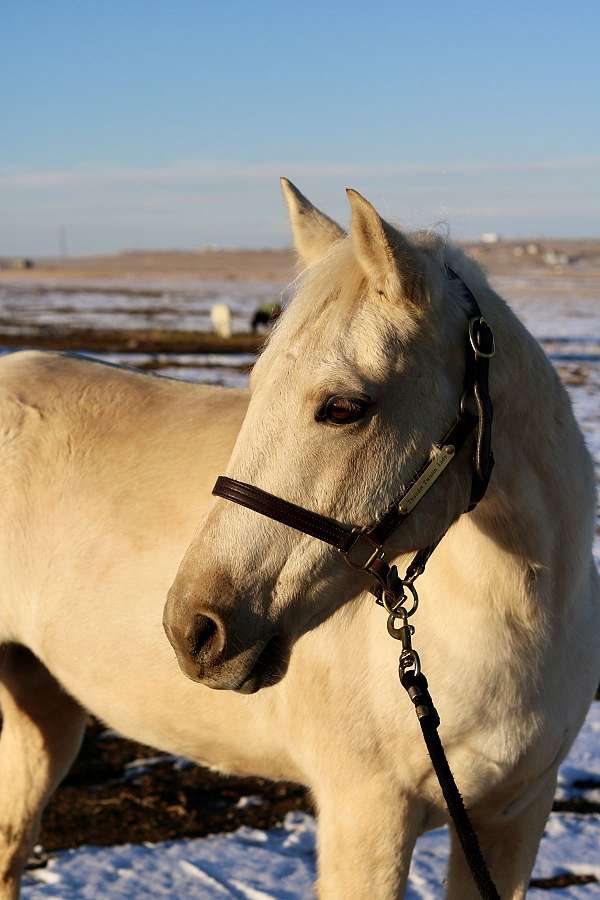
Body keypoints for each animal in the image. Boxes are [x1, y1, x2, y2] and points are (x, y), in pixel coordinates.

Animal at [0, 178, 596, 900]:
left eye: (344, 407)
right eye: (254, 388)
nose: (193, 629)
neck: (517, 623)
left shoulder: (513, 818)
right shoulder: (367, 818)